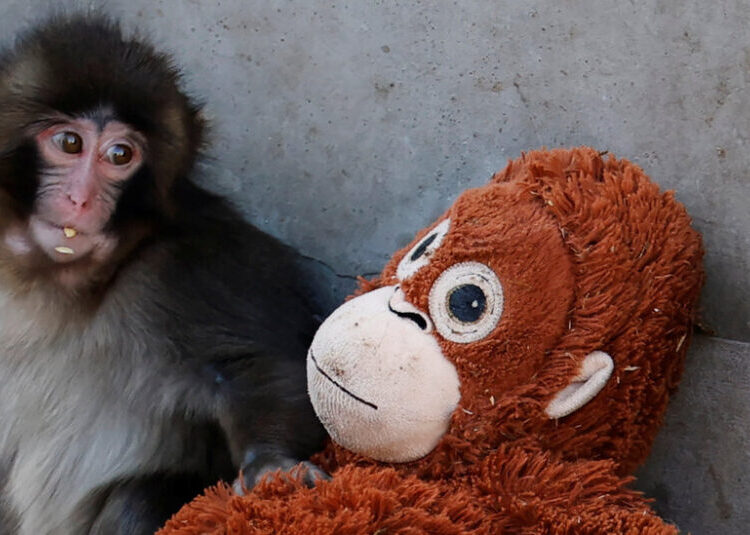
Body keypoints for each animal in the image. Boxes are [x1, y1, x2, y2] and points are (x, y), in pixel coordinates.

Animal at [0, 15, 327, 535]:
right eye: (70, 143)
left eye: (120, 155)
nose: (80, 200)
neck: (55, 283)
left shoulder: (194, 266)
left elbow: (256, 367)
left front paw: (272, 465)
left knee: (138, 500)